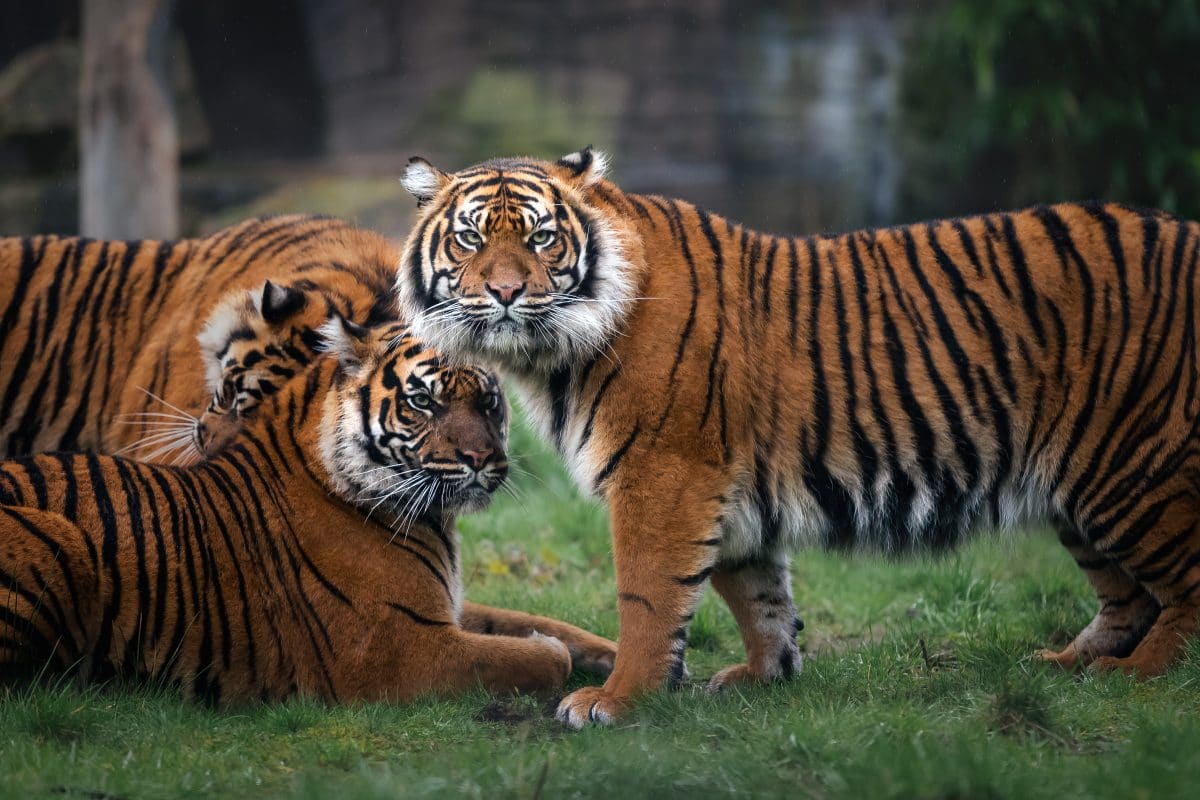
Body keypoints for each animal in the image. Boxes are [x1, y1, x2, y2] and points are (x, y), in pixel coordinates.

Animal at [0, 321, 614, 705]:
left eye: (488, 400)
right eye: (423, 401)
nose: (483, 460)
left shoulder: (443, 606)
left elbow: (550, 625)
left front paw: (617, 660)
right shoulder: (402, 647)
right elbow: (540, 657)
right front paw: (549, 653)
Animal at [398, 145, 1200, 724]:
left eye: (540, 238)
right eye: (469, 238)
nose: (504, 292)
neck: (549, 358)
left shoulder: (665, 475)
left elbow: (648, 599)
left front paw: (616, 702)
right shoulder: (725, 488)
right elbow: (757, 594)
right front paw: (767, 674)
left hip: (1136, 466)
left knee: (1185, 588)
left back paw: (1137, 677)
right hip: (1079, 485)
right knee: (1128, 598)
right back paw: (1065, 666)